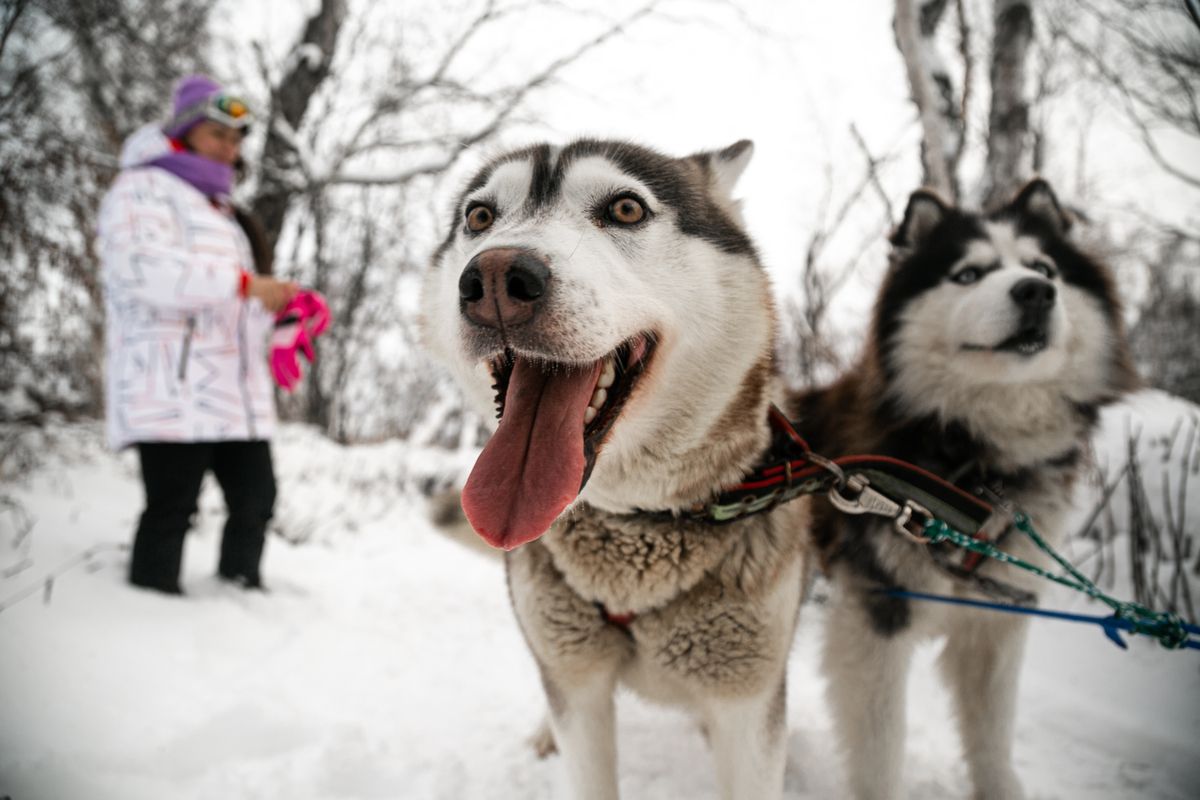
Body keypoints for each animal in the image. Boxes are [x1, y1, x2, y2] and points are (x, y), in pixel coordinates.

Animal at [420, 140, 806, 800]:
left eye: (626, 208)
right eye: (479, 216)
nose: (494, 276)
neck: (636, 525)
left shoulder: (747, 703)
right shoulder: (579, 689)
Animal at [792, 181, 1137, 800]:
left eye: (1043, 267)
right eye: (968, 274)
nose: (1036, 292)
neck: (977, 466)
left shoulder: (997, 619)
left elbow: (993, 737)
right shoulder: (877, 615)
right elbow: (881, 750)